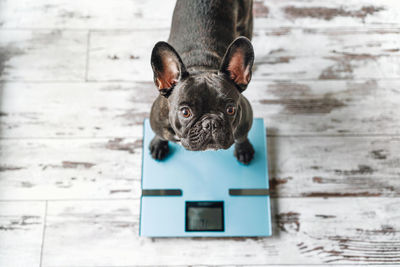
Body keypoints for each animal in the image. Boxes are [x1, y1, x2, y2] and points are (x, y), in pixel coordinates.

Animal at [148, 0, 255, 164]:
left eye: (231, 110)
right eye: (185, 112)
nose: (210, 123)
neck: (201, 67)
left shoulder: (245, 121)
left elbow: (242, 137)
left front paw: (244, 149)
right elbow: (160, 135)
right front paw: (158, 144)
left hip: (245, 24)